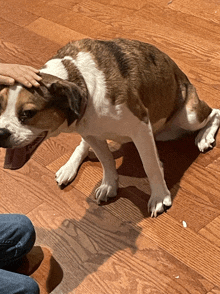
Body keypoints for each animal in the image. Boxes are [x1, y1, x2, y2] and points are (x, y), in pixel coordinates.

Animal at [0, 39, 220, 216]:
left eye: (28, 114)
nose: (1, 133)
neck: (77, 78)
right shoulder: (91, 133)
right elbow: (105, 160)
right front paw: (109, 185)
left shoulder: (140, 127)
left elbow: (150, 165)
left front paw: (159, 196)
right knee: (83, 145)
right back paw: (69, 168)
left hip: (188, 116)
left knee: (214, 112)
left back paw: (204, 137)